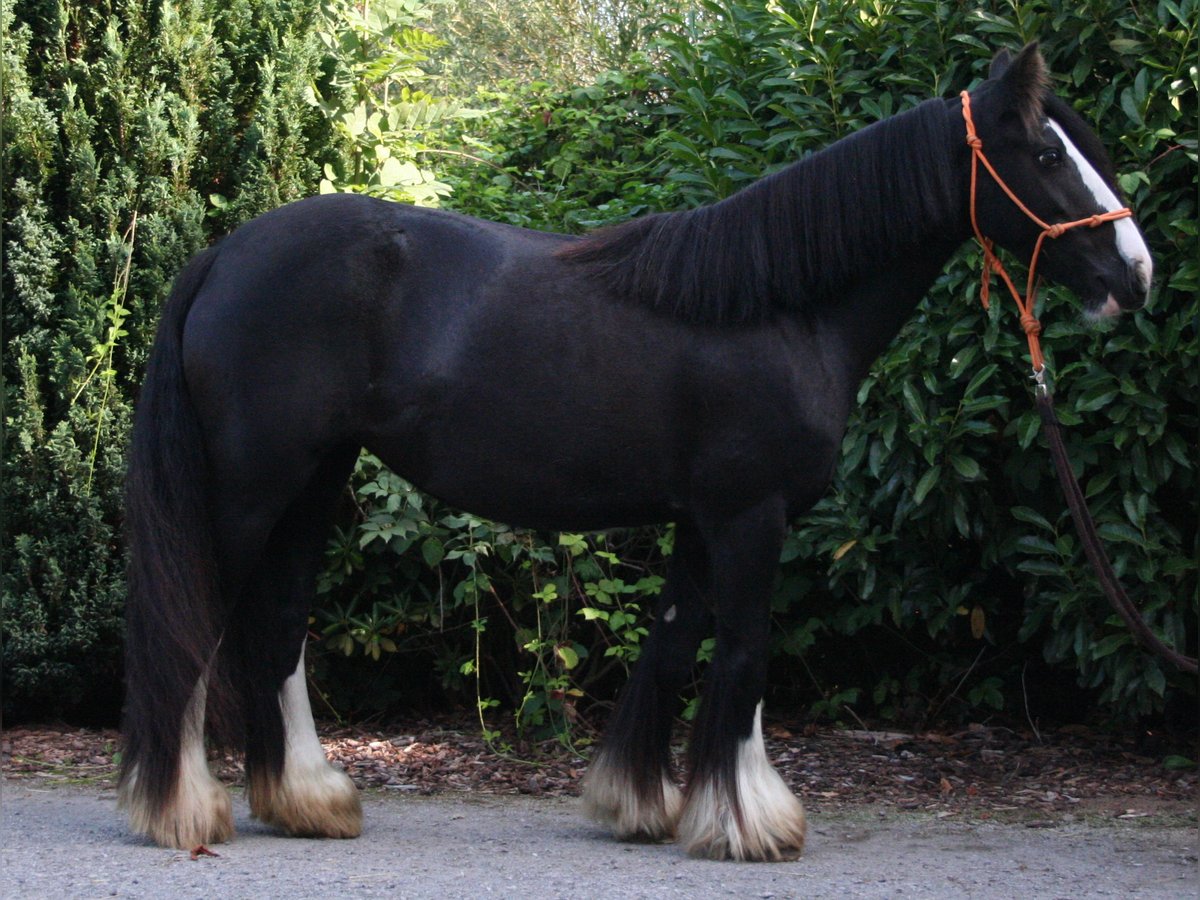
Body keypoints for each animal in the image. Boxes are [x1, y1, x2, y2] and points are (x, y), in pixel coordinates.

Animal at [121, 45, 1152, 864]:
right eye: (1047, 154)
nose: (1136, 276)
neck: (782, 308)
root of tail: (223, 257)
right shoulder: (750, 517)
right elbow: (743, 653)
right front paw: (752, 823)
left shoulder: (704, 518)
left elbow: (670, 646)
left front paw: (643, 804)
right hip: (251, 490)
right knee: (198, 623)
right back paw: (184, 810)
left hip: (315, 483)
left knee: (278, 626)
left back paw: (307, 799)